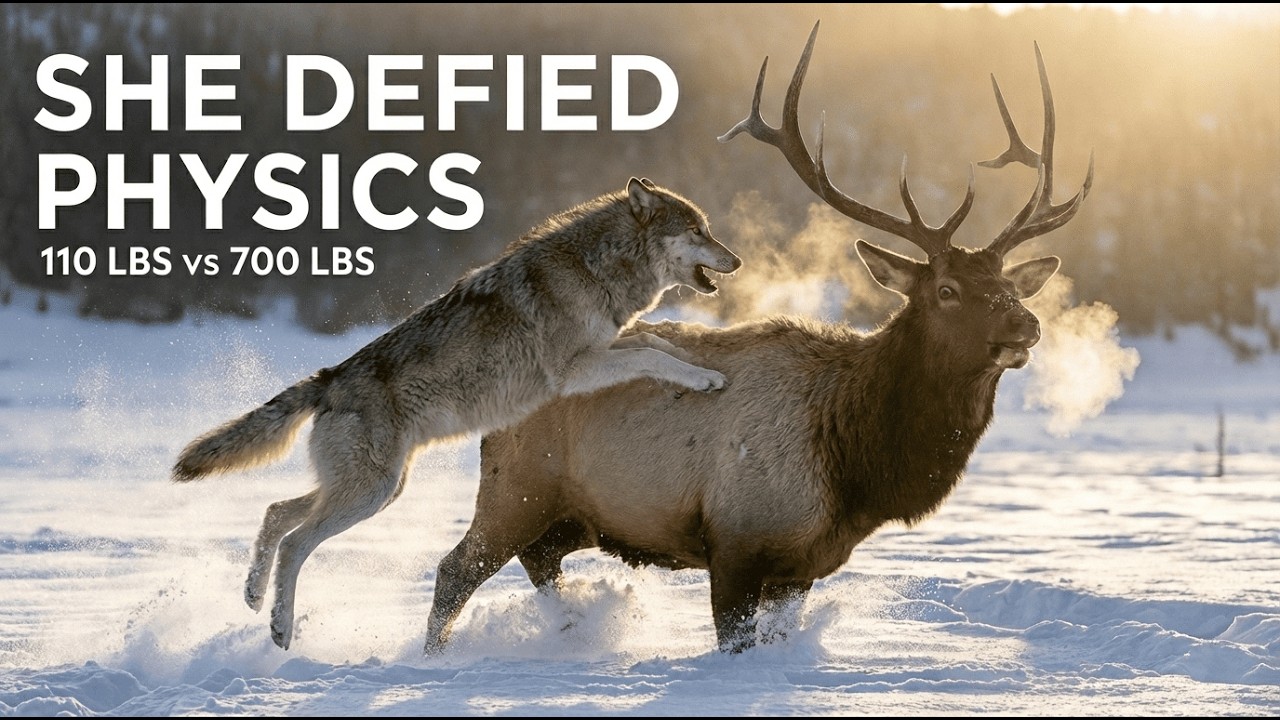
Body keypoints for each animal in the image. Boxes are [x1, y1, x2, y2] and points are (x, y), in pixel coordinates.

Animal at [173, 177, 741, 649]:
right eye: (697, 230)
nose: (735, 260)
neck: (596, 267)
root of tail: (329, 376)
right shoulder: (575, 370)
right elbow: (651, 354)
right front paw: (706, 379)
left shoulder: (605, 347)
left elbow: (652, 341)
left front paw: (697, 359)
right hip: (370, 493)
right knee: (294, 542)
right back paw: (279, 627)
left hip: (379, 489)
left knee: (275, 511)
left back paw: (252, 595)